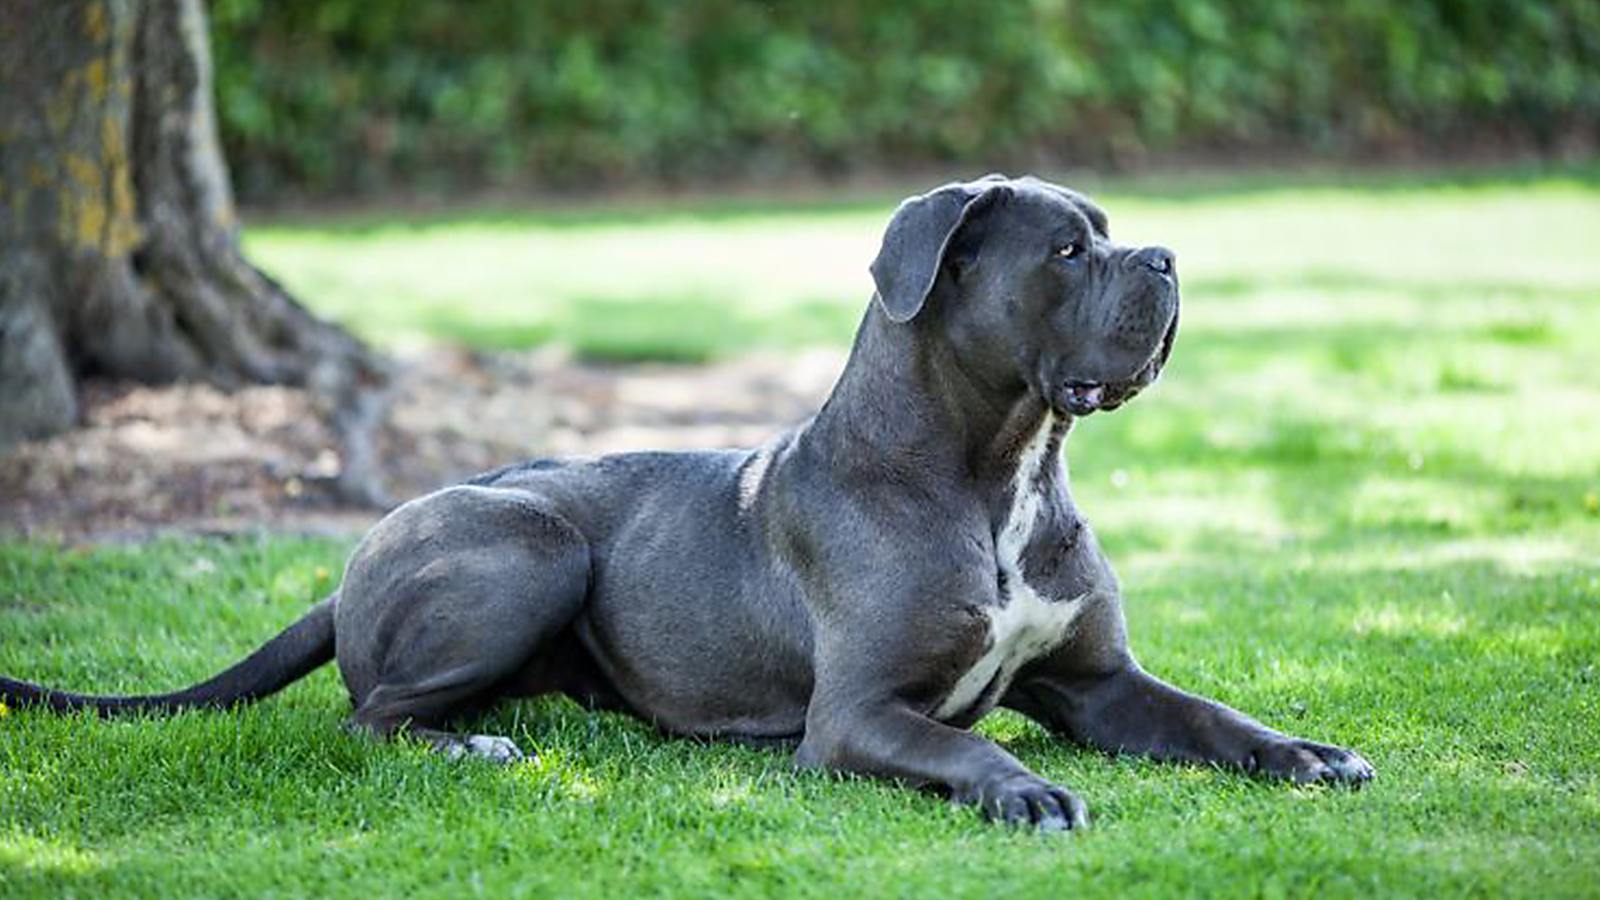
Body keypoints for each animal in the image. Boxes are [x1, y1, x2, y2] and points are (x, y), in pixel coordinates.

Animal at [3, 173, 1376, 826]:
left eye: (1108, 231)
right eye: (1066, 249)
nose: (1168, 258)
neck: (1000, 470)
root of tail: (354, 558)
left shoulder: (1098, 684)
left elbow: (1211, 718)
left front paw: (1303, 752)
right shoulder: (858, 715)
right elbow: (962, 739)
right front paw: (1018, 788)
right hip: (532, 544)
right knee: (369, 719)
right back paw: (473, 743)